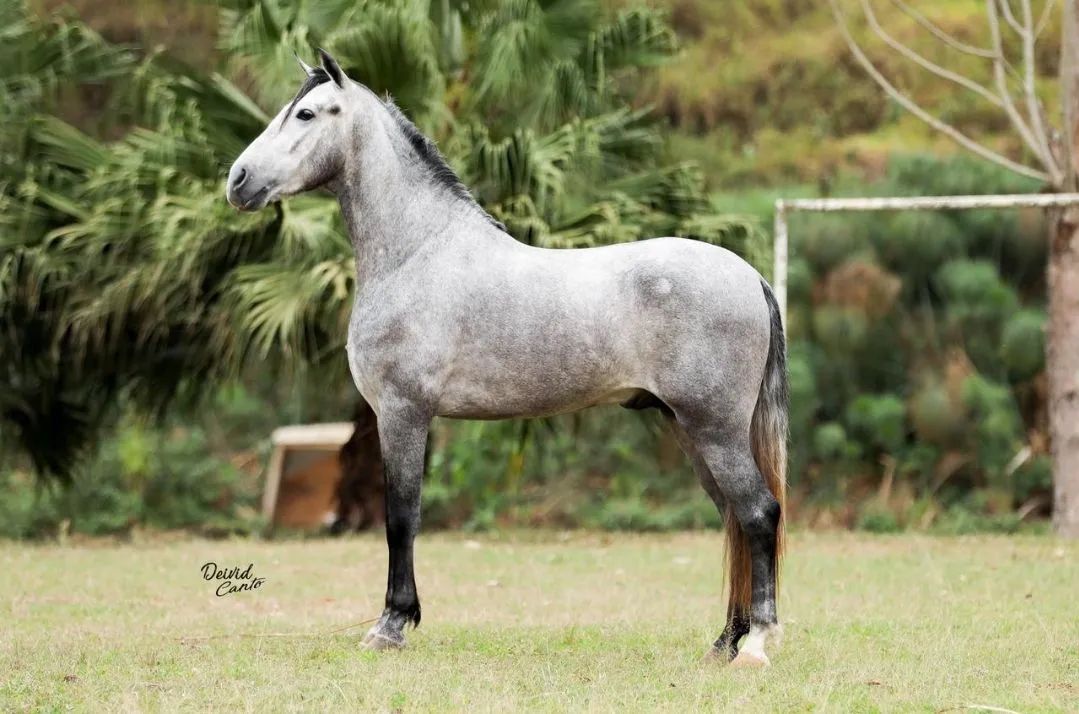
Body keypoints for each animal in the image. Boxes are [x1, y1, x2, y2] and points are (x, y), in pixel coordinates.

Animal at [226, 50, 788, 667]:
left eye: (305, 113)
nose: (238, 180)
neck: (418, 253)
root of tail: (750, 275)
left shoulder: (402, 413)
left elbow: (401, 517)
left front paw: (391, 625)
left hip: (715, 430)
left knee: (758, 514)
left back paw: (756, 644)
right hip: (692, 431)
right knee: (734, 520)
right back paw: (724, 642)